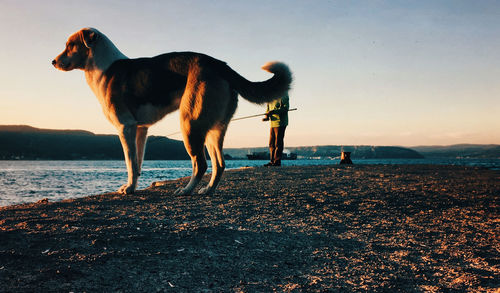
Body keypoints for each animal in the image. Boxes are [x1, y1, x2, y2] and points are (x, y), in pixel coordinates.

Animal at [52, 27, 292, 195]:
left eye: (70, 45)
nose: (52, 61)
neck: (103, 67)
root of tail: (219, 64)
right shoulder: (141, 130)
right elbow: (137, 164)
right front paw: (133, 187)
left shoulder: (125, 127)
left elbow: (130, 163)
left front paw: (128, 189)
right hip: (212, 130)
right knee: (220, 164)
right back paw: (208, 190)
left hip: (189, 124)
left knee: (201, 164)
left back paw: (186, 190)